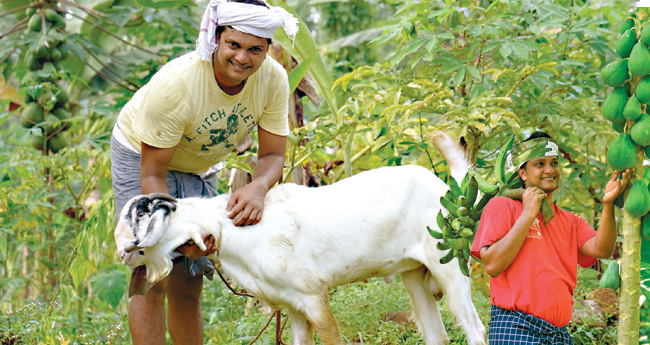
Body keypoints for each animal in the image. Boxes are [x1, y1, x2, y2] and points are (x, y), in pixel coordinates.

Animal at [112, 132, 486, 344]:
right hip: (413, 272)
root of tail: (447, 188)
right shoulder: (292, 306)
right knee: (437, 335)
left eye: (140, 217)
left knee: (475, 329)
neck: (235, 230)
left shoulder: (314, 295)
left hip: (450, 267)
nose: (123, 254)